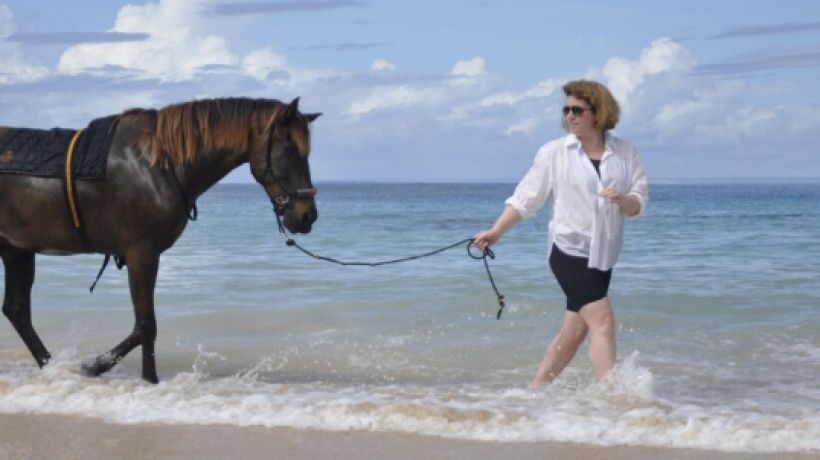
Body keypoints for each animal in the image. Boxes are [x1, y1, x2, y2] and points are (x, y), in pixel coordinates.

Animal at [0, 97, 320, 383]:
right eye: (290, 148)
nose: (307, 215)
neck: (156, 164)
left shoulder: (142, 255)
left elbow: (137, 328)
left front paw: (95, 366)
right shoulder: (141, 253)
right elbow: (146, 325)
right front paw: (149, 379)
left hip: (17, 250)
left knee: (17, 311)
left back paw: (50, 366)